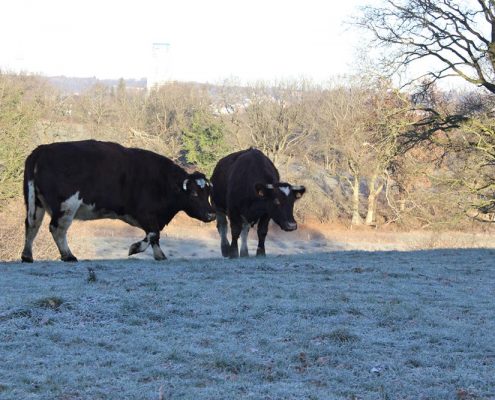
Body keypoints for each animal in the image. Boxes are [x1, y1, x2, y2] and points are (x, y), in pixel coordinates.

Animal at [21, 141, 215, 262]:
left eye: (207, 193)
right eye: (194, 194)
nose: (211, 214)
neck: (162, 181)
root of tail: (42, 149)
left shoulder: (152, 218)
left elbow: (155, 237)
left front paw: (160, 256)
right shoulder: (147, 214)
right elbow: (153, 234)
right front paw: (135, 248)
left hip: (36, 204)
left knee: (32, 225)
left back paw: (27, 256)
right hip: (66, 207)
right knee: (57, 229)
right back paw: (68, 255)